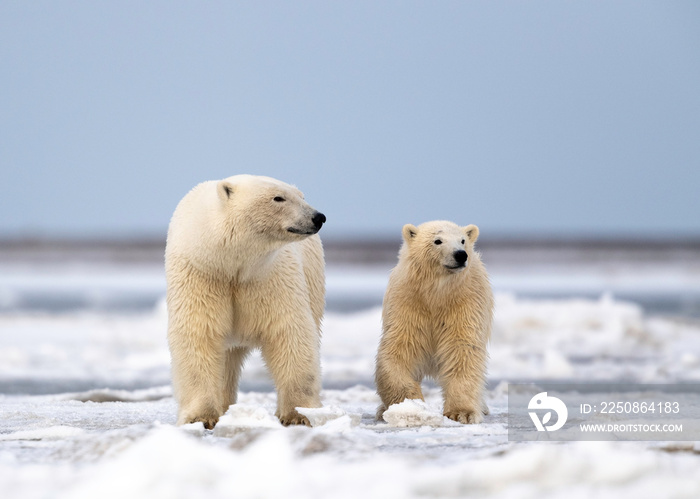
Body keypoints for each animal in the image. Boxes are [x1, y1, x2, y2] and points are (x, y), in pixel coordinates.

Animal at [165, 174, 326, 428]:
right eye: (278, 198)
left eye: (301, 196)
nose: (318, 217)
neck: (232, 265)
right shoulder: (201, 275)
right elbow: (199, 335)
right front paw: (200, 417)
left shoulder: (269, 277)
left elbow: (289, 333)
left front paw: (299, 414)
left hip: (314, 280)